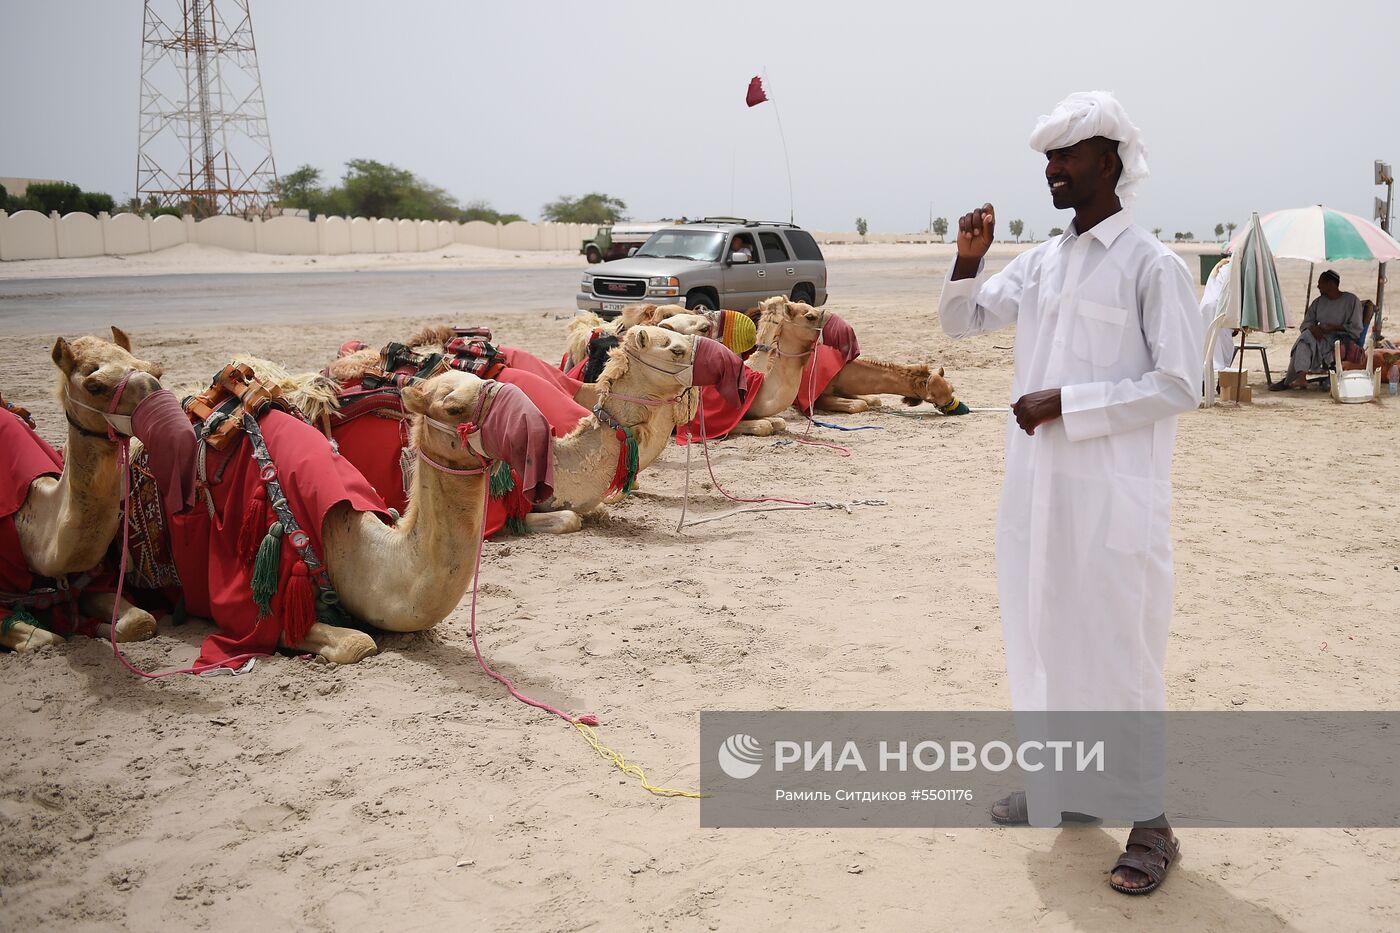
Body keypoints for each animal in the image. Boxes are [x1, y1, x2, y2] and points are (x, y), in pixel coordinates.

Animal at [1, 330, 161, 650]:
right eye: (94, 385)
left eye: (155, 370)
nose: (156, 391)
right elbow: (47, 638)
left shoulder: (91, 581)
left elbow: (141, 621)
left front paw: (95, 627)